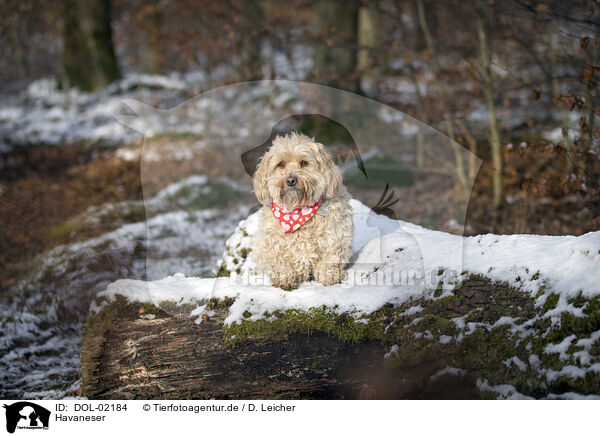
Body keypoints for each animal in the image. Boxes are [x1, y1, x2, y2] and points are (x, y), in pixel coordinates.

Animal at [250, 132, 352, 290]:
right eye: (281, 164)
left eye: (304, 163)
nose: (291, 180)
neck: (297, 210)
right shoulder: (275, 245)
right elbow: (282, 265)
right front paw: (285, 281)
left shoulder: (335, 238)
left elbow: (328, 261)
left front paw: (330, 278)